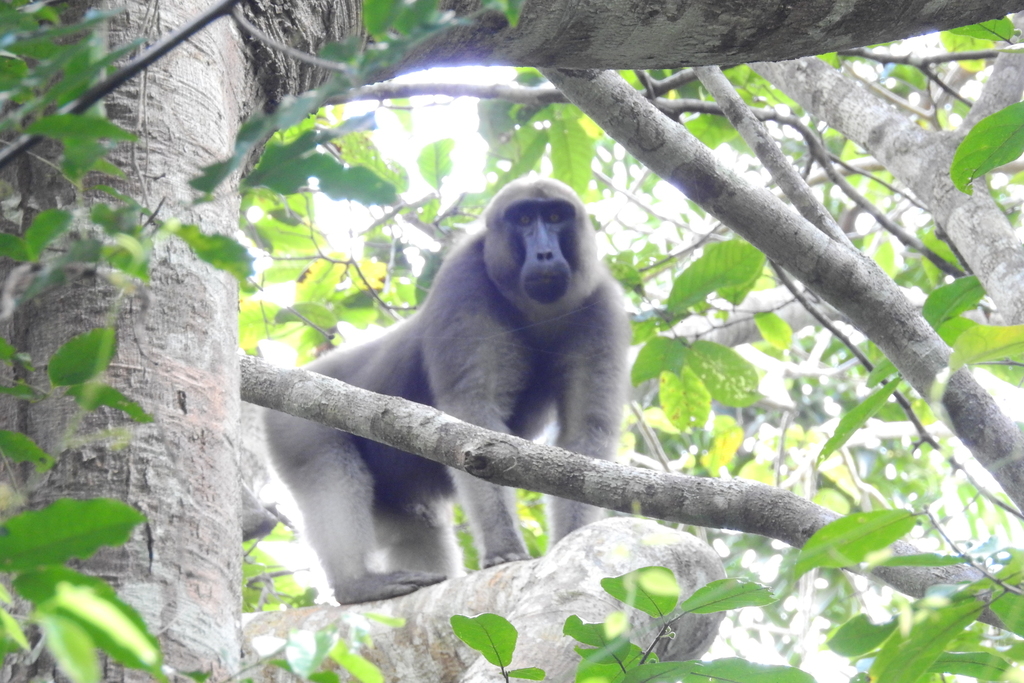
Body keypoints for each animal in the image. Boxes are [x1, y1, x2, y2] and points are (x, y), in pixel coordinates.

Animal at [264, 177, 630, 604]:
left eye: (555, 216)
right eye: (524, 219)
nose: (543, 252)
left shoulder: (601, 304)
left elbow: (585, 432)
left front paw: (571, 543)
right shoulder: (464, 280)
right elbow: (473, 415)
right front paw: (504, 550)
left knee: (415, 524)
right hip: (292, 422)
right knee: (327, 469)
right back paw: (357, 585)